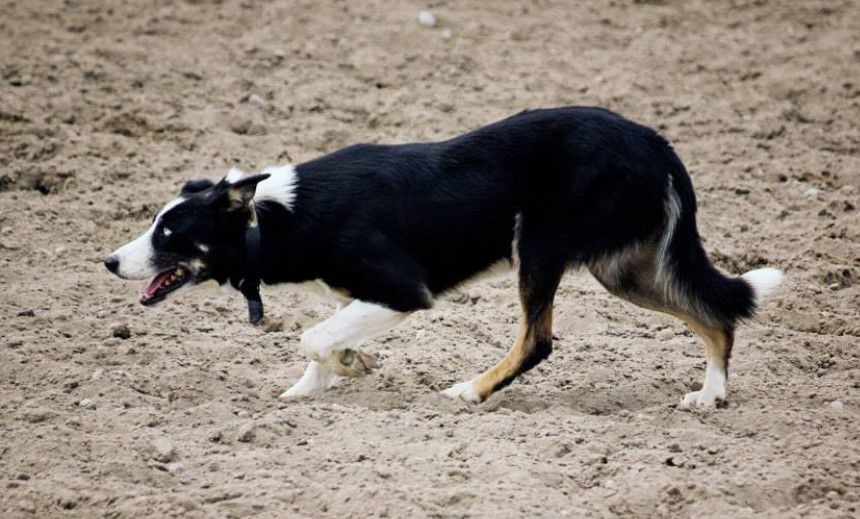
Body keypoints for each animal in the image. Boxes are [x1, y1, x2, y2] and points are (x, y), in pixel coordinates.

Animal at [104, 106, 784, 406]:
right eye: (155, 223)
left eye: (170, 233)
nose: (109, 262)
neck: (278, 215)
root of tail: (652, 139)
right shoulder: (363, 296)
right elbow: (327, 341)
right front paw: (323, 379)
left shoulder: (403, 291)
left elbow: (311, 335)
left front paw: (336, 365)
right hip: (624, 268)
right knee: (716, 316)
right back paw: (711, 395)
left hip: (540, 245)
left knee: (537, 340)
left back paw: (472, 391)